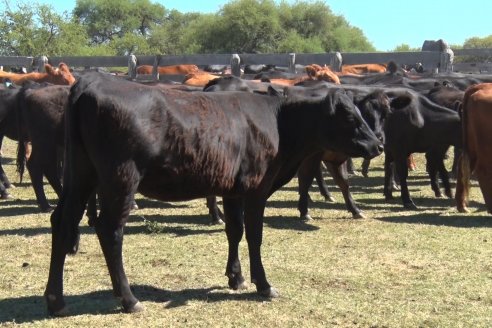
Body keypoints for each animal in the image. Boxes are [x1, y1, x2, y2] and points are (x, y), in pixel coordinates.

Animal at [46, 72, 382, 316]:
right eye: (349, 117)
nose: (378, 144)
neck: (277, 122)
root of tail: (93, 80)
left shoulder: (232, 190)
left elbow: (234, 231)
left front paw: (236, 277)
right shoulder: (256, 189)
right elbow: (254, 235)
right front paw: (263, 284)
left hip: (80, 176)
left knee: (61, 222)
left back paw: (56, 299)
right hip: (121, 179)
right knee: (110, 230)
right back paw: (129, 299)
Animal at [456, 80, 492, 211]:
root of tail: (479, 86)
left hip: (471, 145)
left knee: (463, 164)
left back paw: (462, 206)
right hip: (485, 147)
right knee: (483, 169)